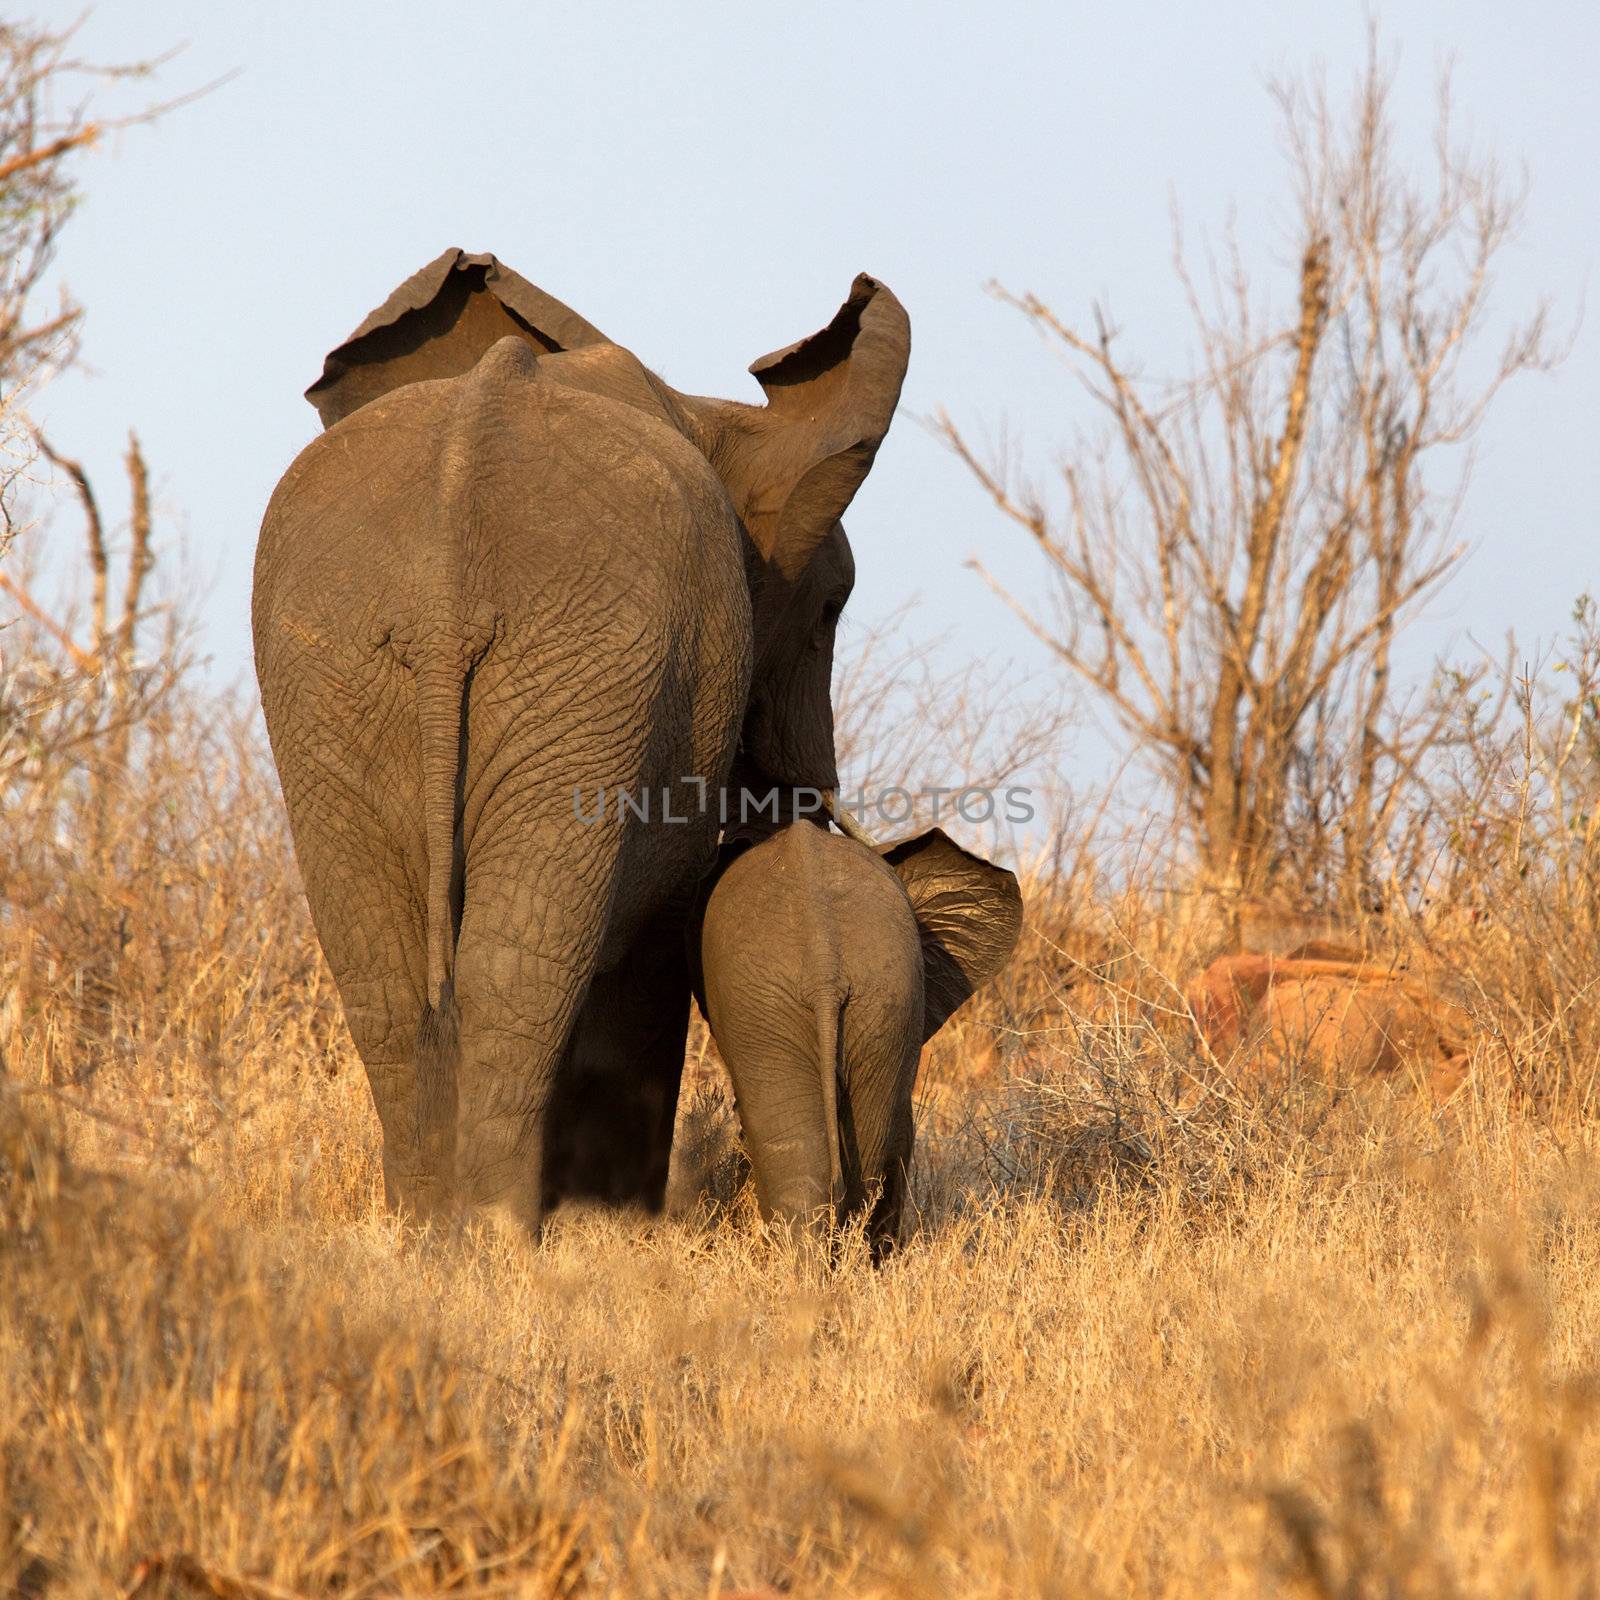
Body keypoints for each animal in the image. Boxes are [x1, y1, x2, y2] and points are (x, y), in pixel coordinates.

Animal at [257, 249, 921, 1228]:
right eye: (830, 612)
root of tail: (448, 573)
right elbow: (653, 935)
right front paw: (615, 1224)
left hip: (350, 667)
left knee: (388, 967)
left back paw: (432, 1230)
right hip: (567, 670)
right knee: (521, 965)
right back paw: (495, 1232)